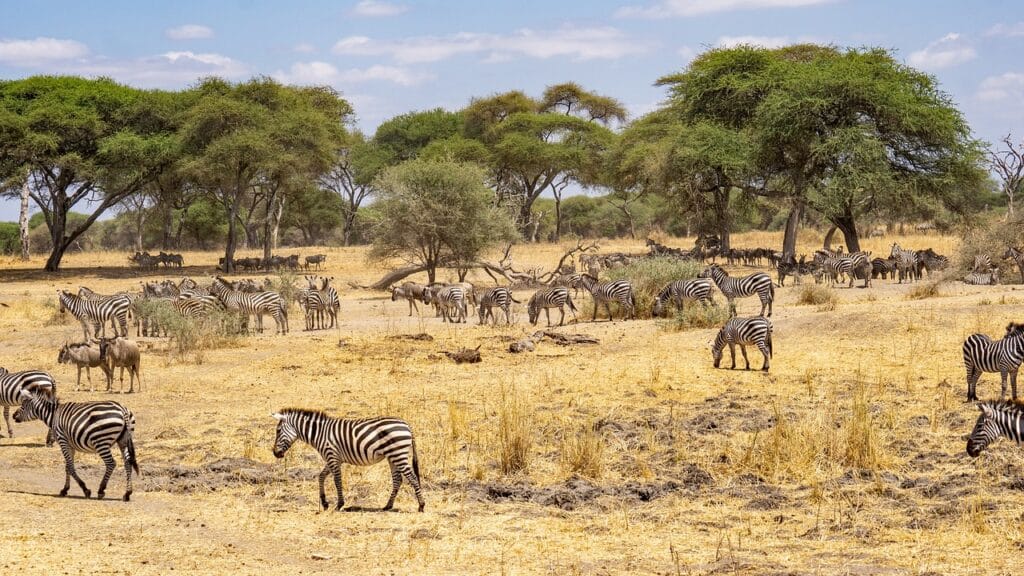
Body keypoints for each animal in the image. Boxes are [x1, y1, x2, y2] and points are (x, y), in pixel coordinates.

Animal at [271, 409, 425, 512]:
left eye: (278, 431)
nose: (275, 453)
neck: (320, 433)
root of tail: (407, 425)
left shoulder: (332, 456)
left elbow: (337, 481)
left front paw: (339, 504)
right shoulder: (333, 458)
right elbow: (321, 477)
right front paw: (325, 503)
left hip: (398, 454)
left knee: (412, 477)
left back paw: (421, 506)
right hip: (392, 456)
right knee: (398, 479)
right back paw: (388, 506)